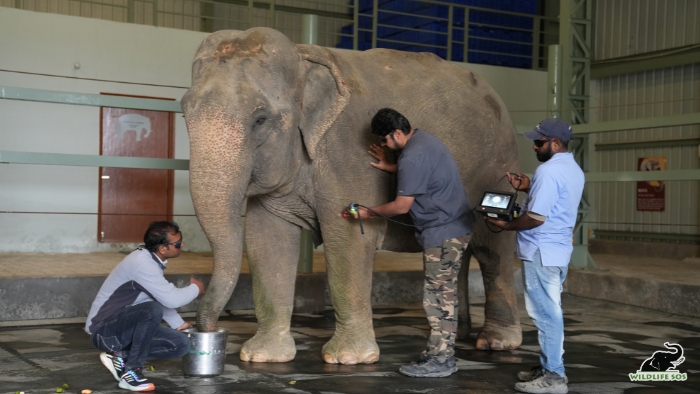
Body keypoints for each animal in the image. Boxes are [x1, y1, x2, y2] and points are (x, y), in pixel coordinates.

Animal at [183, 27, 524, 364]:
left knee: (492, 251)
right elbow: (266, 239)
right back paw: (460, 332)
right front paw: (262, 356)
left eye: (260, 120)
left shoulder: (348, 154)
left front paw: (348, 358)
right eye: (185, 113)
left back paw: (495, 342)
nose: (206, 330)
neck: (303, 58)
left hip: (499, 164)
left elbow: (348, 240)